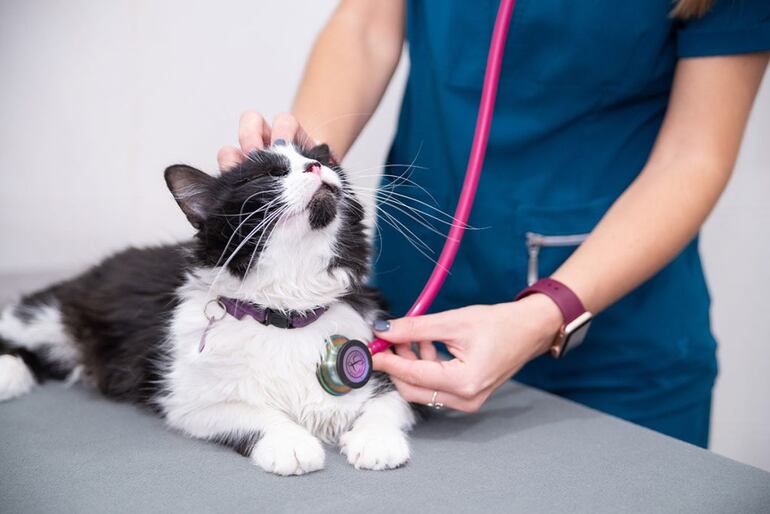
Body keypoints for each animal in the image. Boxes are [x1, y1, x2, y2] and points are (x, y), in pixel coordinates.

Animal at [0, 142, 414, 474]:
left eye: (323, 161)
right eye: (269, 174)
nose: (316, 166)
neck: (288, 310)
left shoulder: (383, 360)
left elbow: (388, 401)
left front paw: (376, 440)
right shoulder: (186, 399)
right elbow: (254, 413)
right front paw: (290, 443)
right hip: (50, 313)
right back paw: (7, 371)